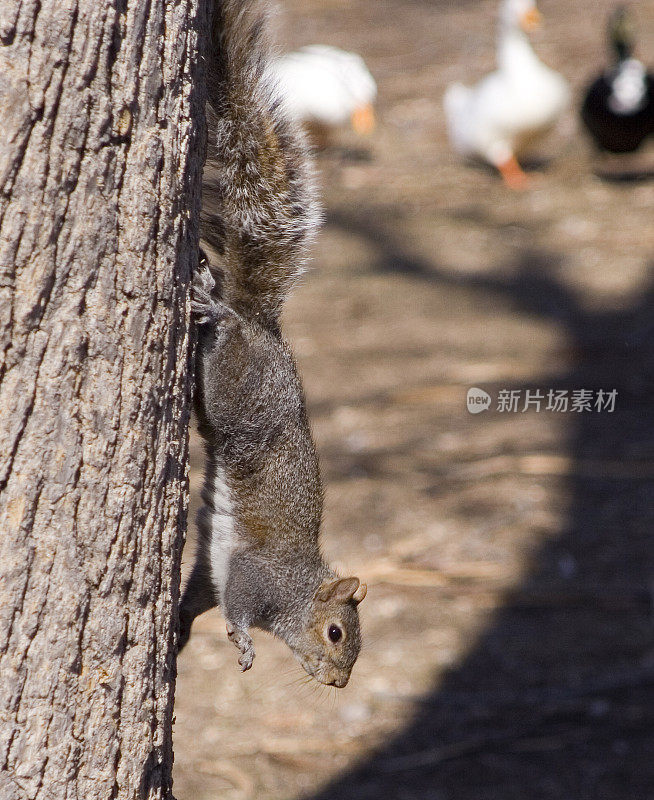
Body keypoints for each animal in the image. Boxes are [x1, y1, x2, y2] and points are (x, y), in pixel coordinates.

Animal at [177, 0, 366, 688]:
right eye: (335, 633)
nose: (338, 682)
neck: (296, 593)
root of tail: (265, 327)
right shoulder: (255, 579)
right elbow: (235, 606)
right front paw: (242, 643)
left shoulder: (214, 573)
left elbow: (202, 596)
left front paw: (180, 631)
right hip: (240, 394)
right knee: (225, 345)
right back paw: (215, 309)